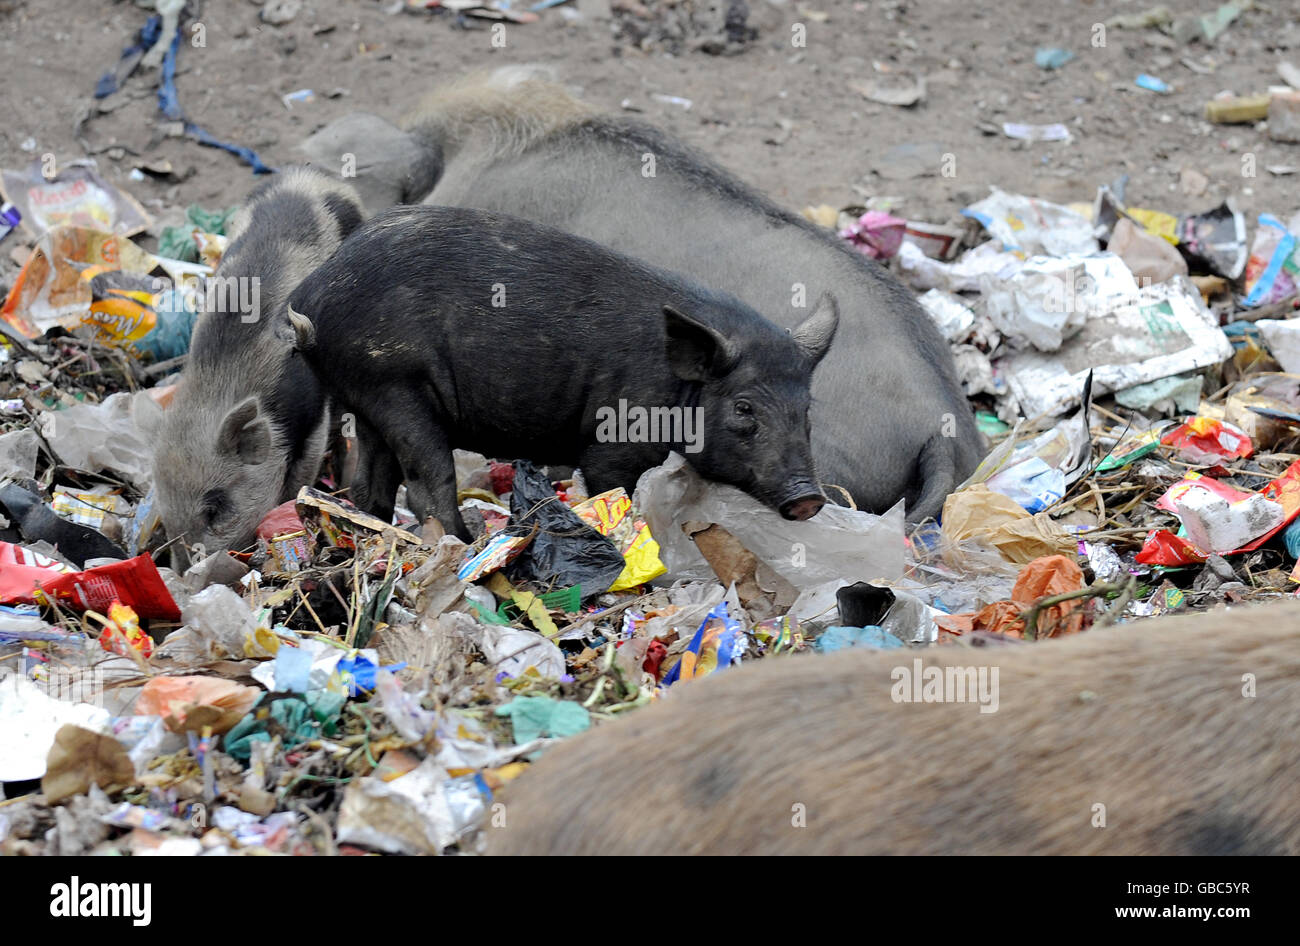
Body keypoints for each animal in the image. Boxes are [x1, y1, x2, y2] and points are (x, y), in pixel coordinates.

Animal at [139, 167, 364, 562]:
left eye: (215, 506)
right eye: (165, 512)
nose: (186, 574)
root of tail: (309, 173)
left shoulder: (311, 413)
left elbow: (303, 470)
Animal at [286, 204, 839, 541]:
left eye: (806, 409)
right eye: (744, 407)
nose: (810, 499)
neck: (676, 386)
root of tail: (308, 299)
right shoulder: (610, 444)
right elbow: (613, 491)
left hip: (366, 397)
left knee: (371, 486)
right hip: (396, 387)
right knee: (427, 481)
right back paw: (466, 542)